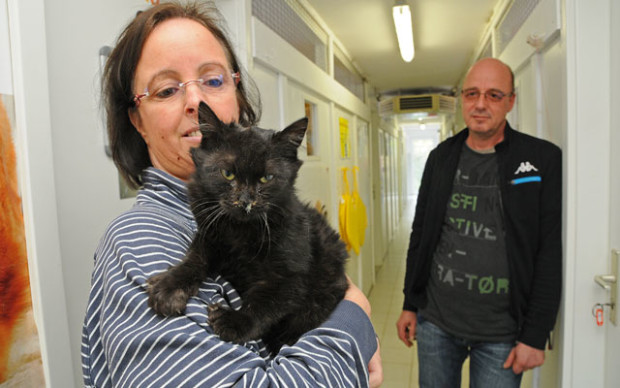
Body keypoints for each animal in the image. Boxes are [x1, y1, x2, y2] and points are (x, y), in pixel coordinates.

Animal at [147, 101, 348, 354]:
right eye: (227, 173)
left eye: (266, 178)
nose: (245, 201)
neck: (240, 233)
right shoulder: (208, 238)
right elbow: (193, 260)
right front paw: (169, 287)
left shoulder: (290, 276)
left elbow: (265, 303)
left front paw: (234, 322)